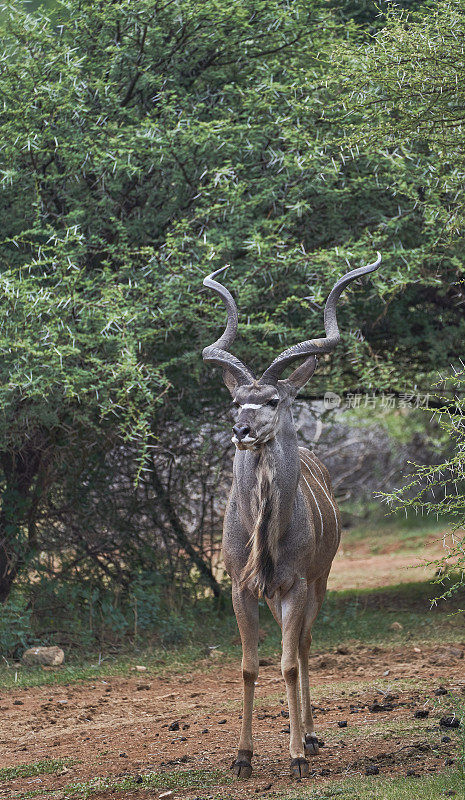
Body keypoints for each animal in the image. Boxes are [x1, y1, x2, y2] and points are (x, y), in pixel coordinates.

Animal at [201, 258, 378, 780]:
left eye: (273, 401)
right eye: (236, 400)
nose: (241, 430)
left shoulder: (296, 584)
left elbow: (288, 663)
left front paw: (298, 754)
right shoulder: (242, 587)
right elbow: (249, 665)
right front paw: (242, 757)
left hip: (319, 581)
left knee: (302, 645)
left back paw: (313, 737)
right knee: (291, 646)